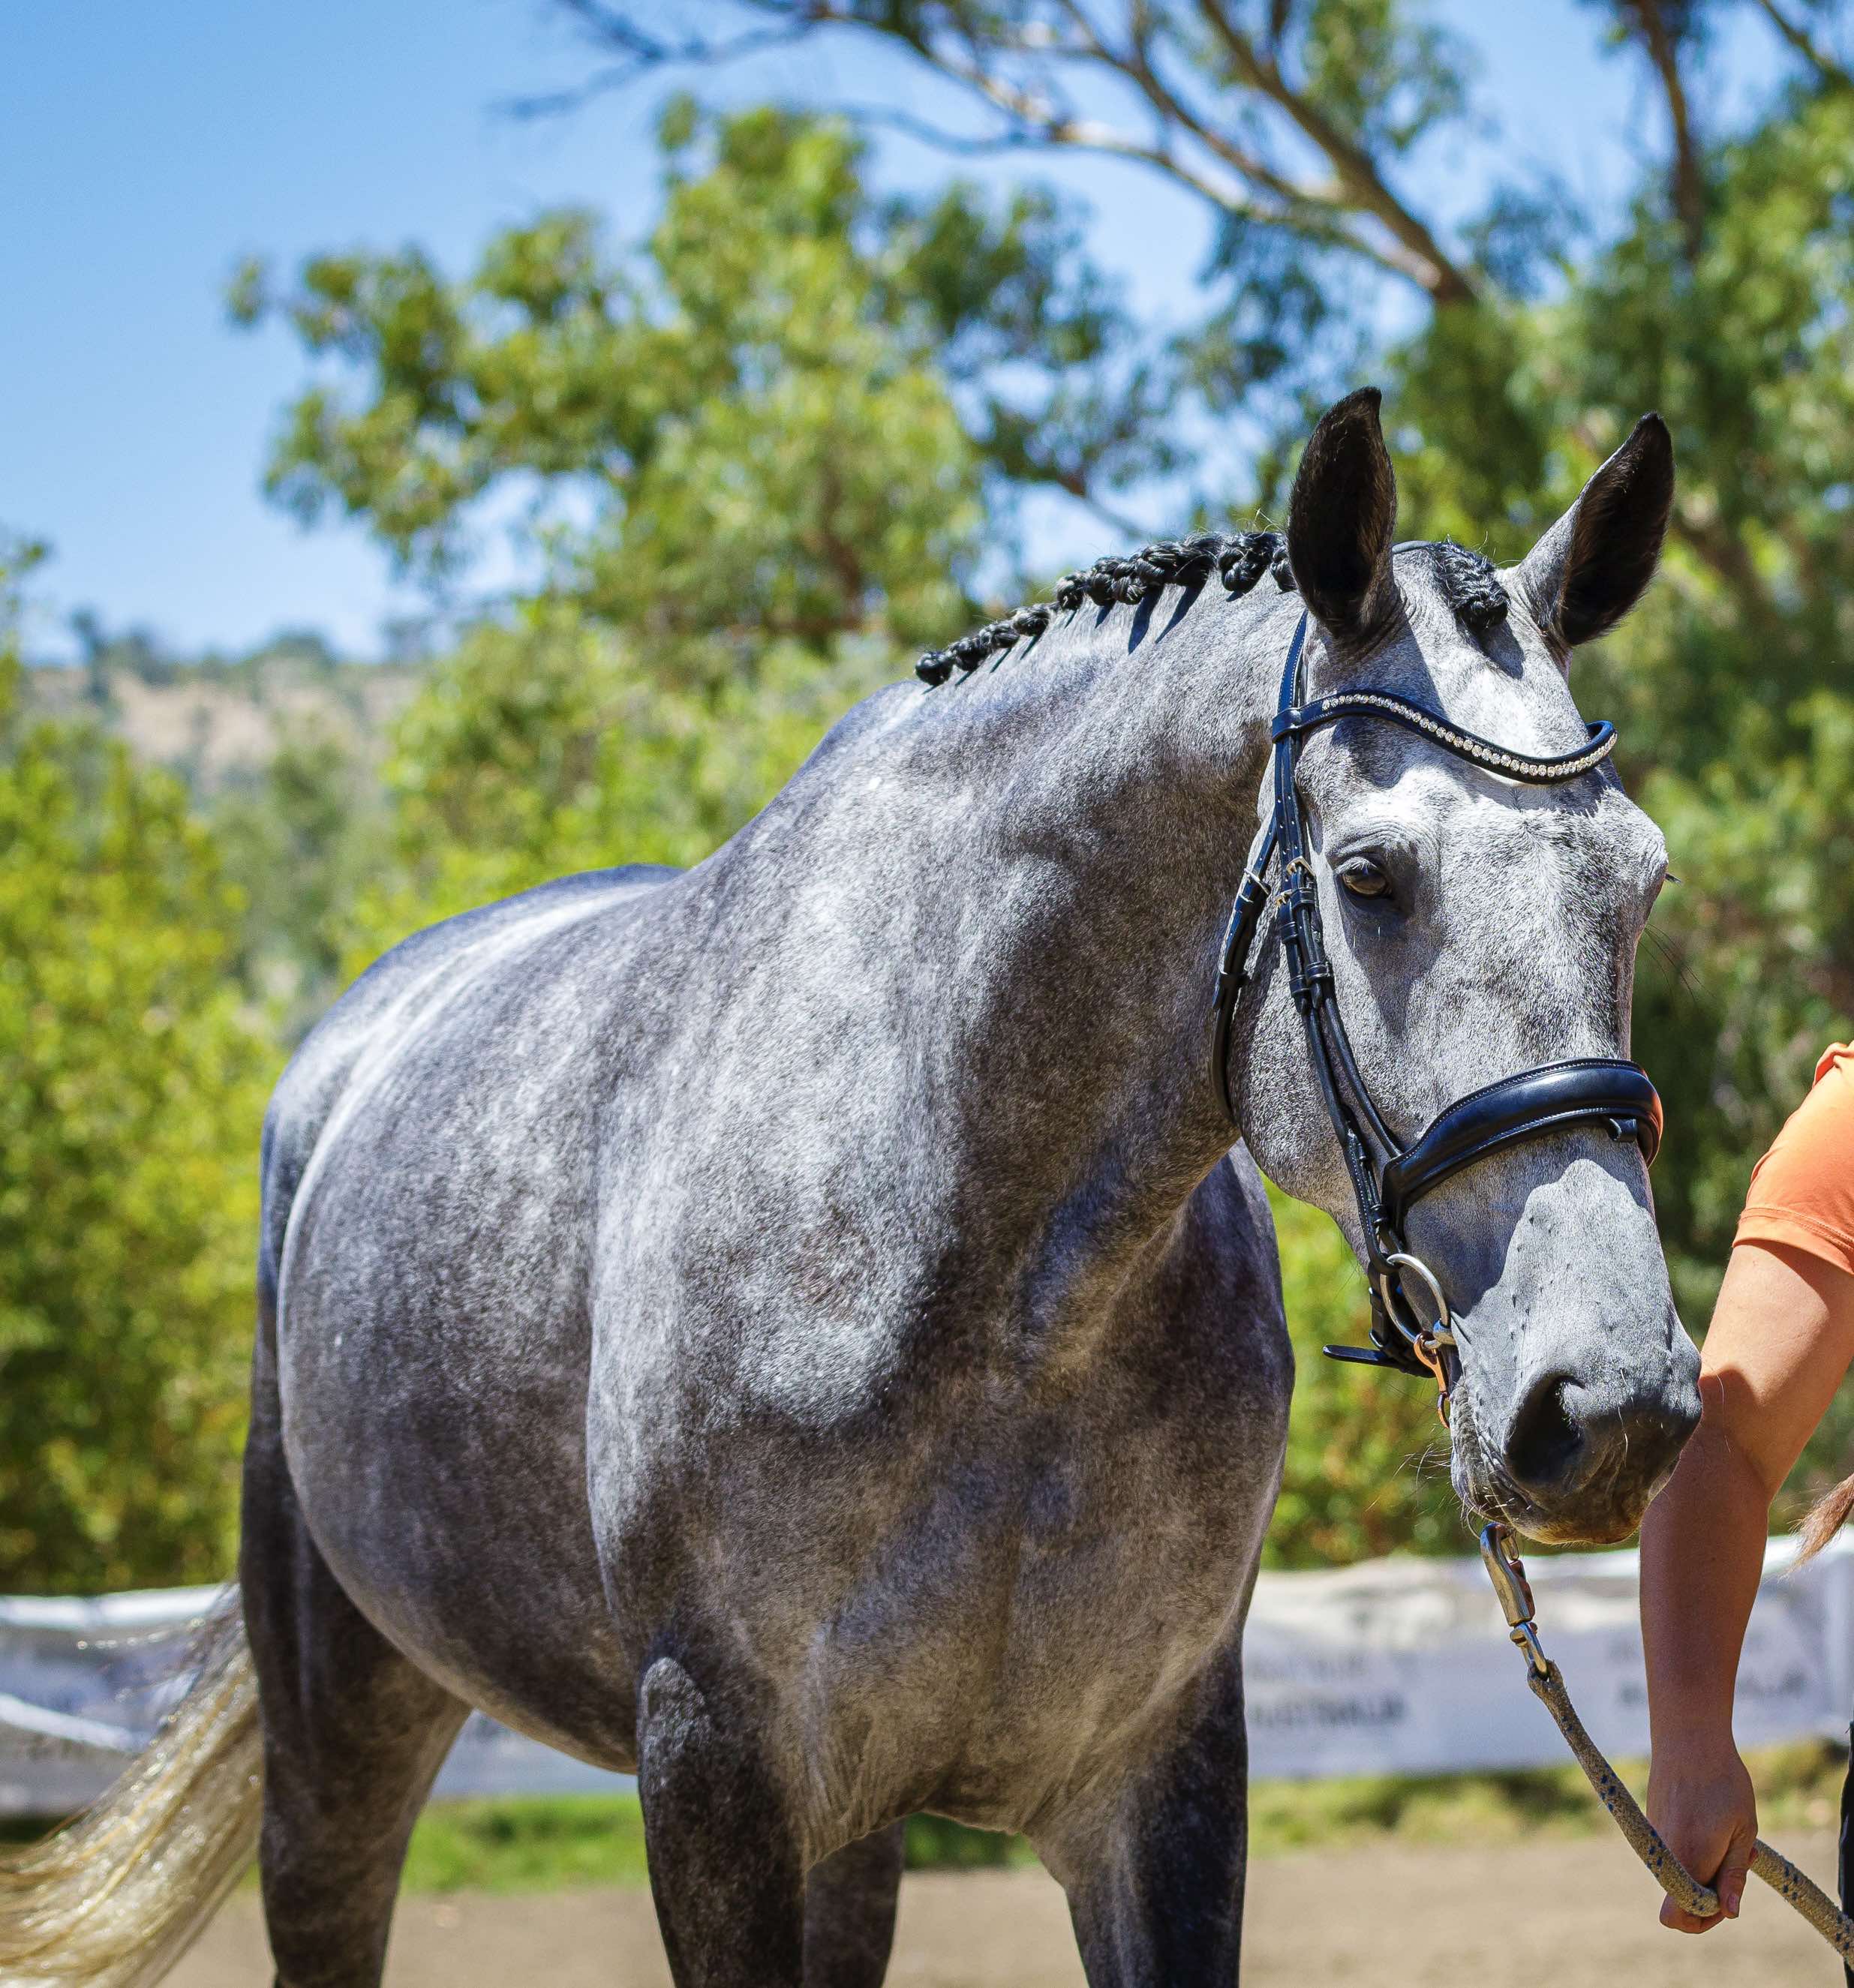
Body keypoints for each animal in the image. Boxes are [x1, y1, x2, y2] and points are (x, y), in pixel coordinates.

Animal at [0, 389, 1702, 1988]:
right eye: (1365, 876)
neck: (980, 1276)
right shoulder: (713, 1772)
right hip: (342, 1731)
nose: (1605, 1403)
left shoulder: (1154, 1776)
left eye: (1640, 880)